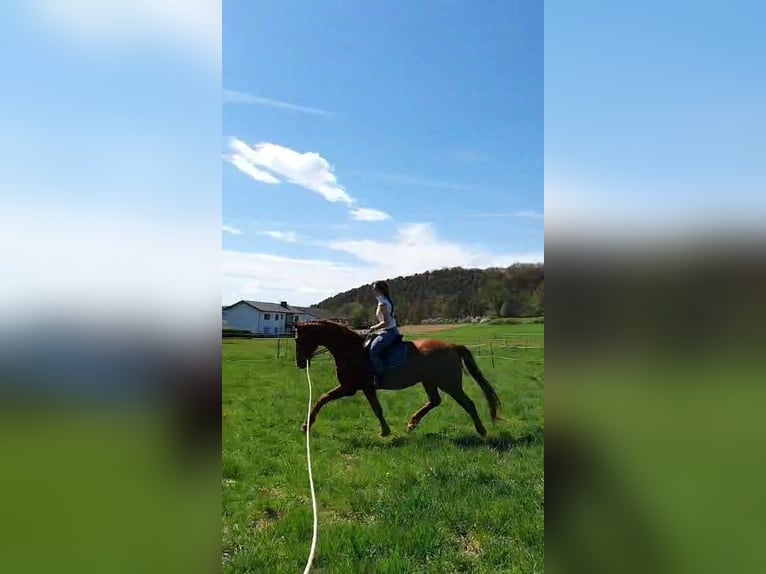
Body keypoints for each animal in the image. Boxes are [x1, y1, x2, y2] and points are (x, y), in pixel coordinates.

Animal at [294, 321, 501, 437]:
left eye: (298, 339)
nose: (300, 363)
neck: (350, 350)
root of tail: (452, 346)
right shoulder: (366, 388)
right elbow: (377, 409)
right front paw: (385, 431)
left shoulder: (349, 387)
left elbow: (322, 399)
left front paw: (306, 425)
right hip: (430, 382)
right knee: (434, 401)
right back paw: (412, 423)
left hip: (449, 384)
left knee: (468, 404)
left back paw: (482, 431)